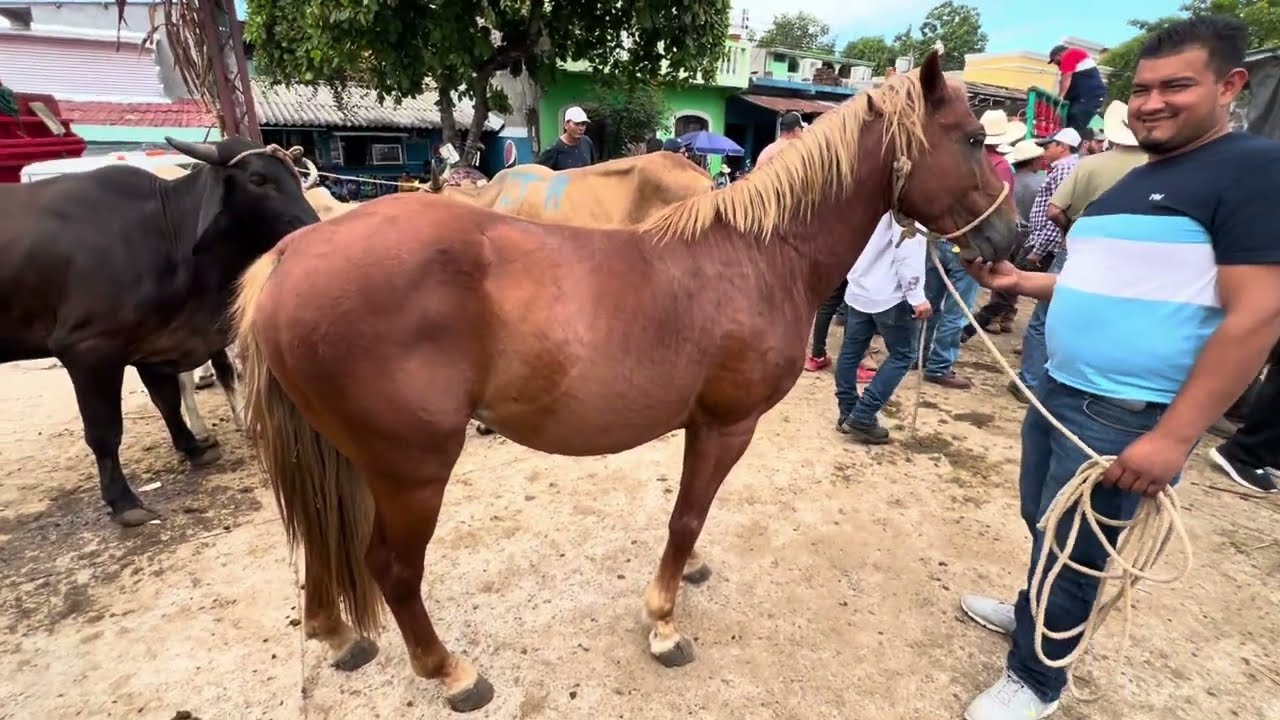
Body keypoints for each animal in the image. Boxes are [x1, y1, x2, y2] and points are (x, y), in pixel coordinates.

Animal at [0, 136, 320, 526]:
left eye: (295, 176)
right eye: (257, 179)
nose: (312, 227)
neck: (165, 231)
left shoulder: (152, 341)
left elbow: (167, 400)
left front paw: (193, 447)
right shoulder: (86, 349)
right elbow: (105, 431)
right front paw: (123, 501)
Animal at [232, 50, 1017, 712]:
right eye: (975, 138)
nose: (1008, 239)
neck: (762, 254)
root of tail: (292, 253)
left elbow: (693, 518)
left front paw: (688, 575)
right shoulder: (725, 425)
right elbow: (687, 516)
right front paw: (664, 622)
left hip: (340, 457)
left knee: (318, 541)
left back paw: (337, 634)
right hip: (412, 470)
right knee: (393, 568)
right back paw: (451, 673)